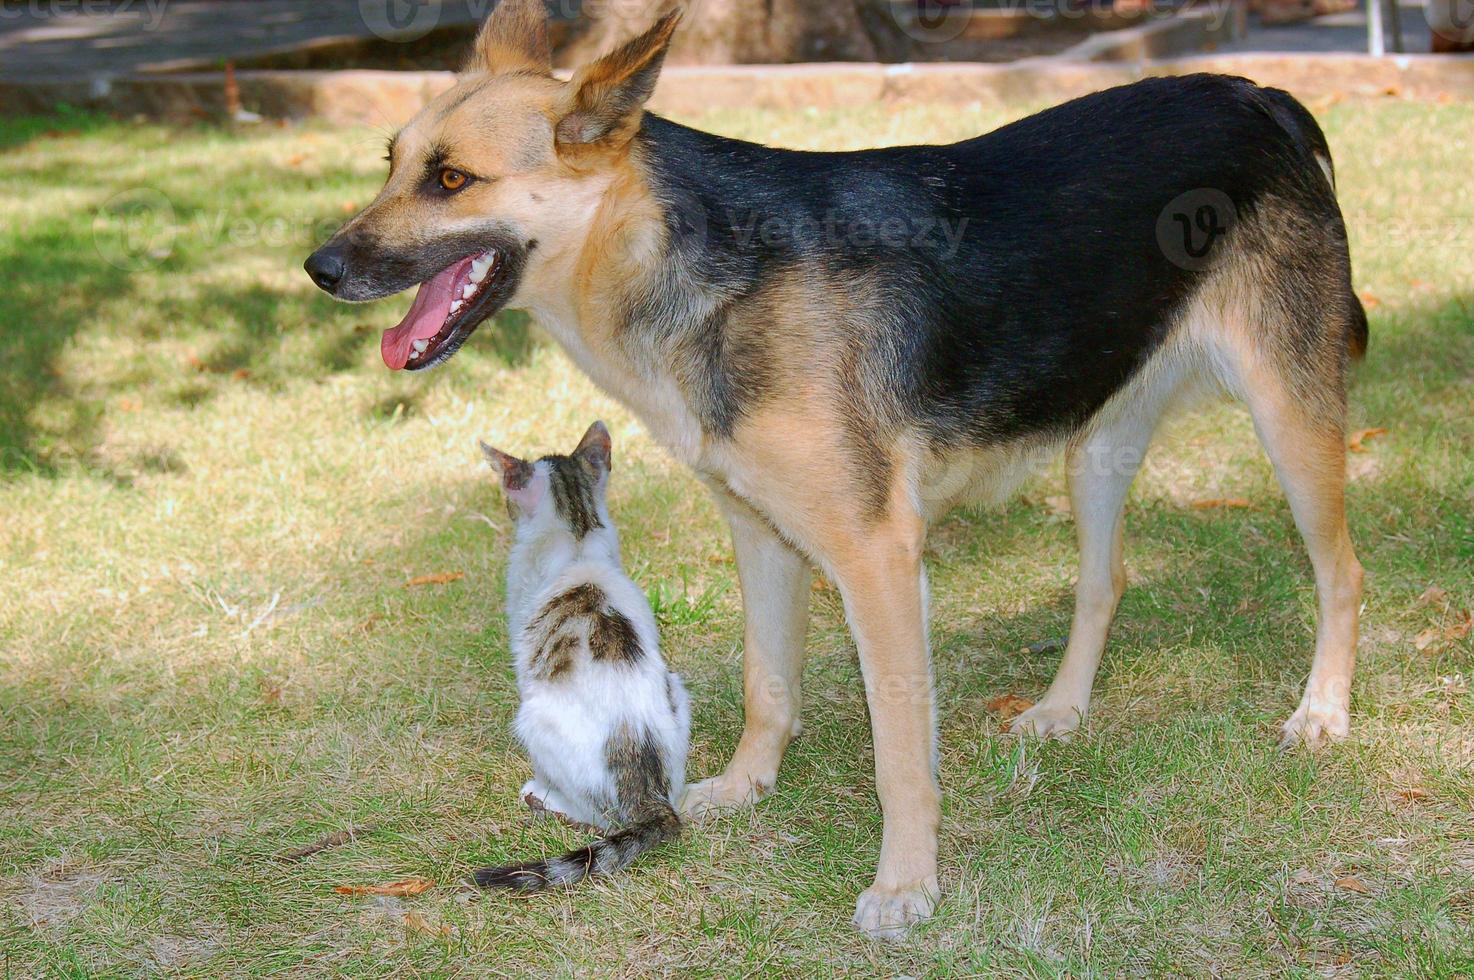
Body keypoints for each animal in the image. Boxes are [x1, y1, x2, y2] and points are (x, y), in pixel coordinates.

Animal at [471, 415, 689, 890]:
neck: (578, 535)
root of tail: (648, 794)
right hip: (677, 688)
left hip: (534, 717)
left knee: (597, 818)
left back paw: (544, 794)